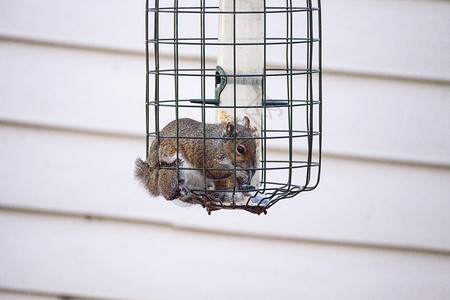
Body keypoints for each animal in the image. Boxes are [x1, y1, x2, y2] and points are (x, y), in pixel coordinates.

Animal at [134, 116, 264, 212]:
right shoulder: (206, 155)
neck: (219, 144)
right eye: (240, 149)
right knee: (168, 192)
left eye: (254, 143)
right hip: (172, 170)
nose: (251, 166)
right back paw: (181, 189)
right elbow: (215, 171)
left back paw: (206, 197)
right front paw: (241, 173)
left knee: (188, 198)